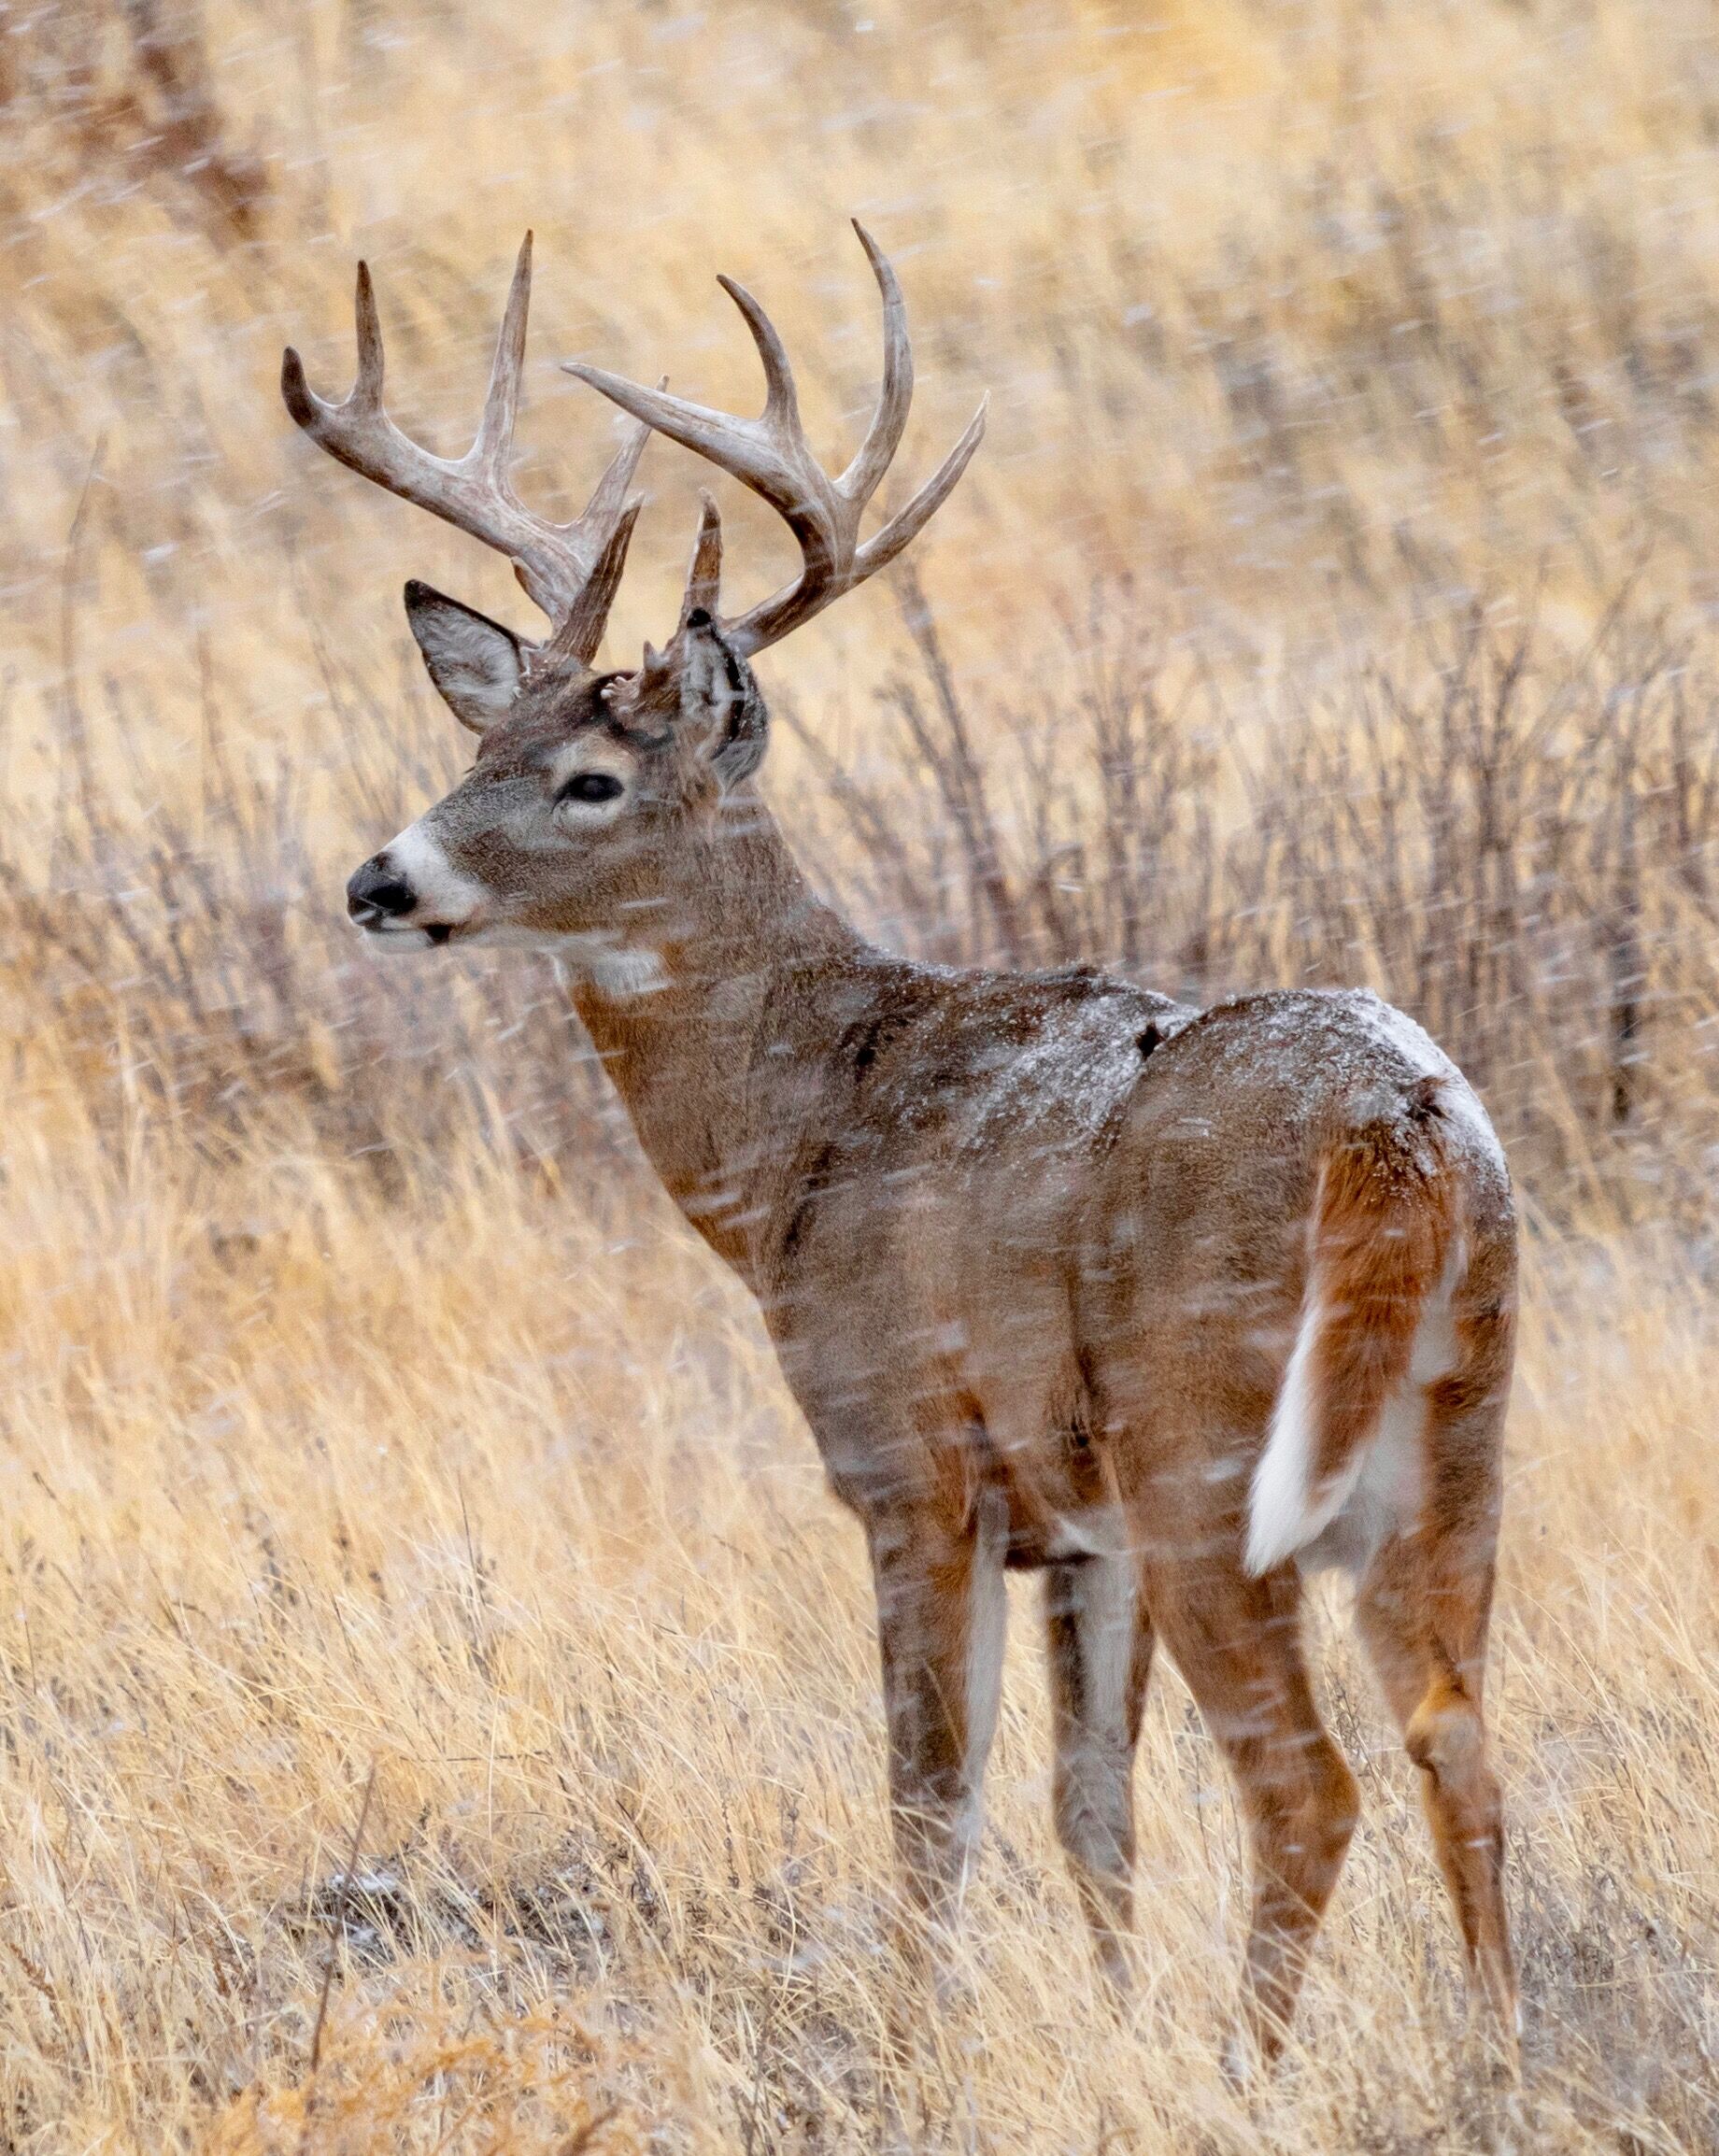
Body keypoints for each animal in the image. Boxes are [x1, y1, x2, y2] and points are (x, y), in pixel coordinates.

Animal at [282, 227, 1518, 2061]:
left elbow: (931, 1801)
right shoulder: (1077, 1524)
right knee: (1458, 1737)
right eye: (478, 747)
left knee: (1309, 1783)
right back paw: (1498, 2058)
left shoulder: (909, 1458)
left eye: (589, 780)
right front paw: (1108, 2021)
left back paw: (1254, 2066)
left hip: (1212, 1447)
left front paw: (924, 2047)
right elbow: (1093, 1808)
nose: (381, 882)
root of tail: (1400, 1123)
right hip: (1456, 1440)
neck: (809, 1132)